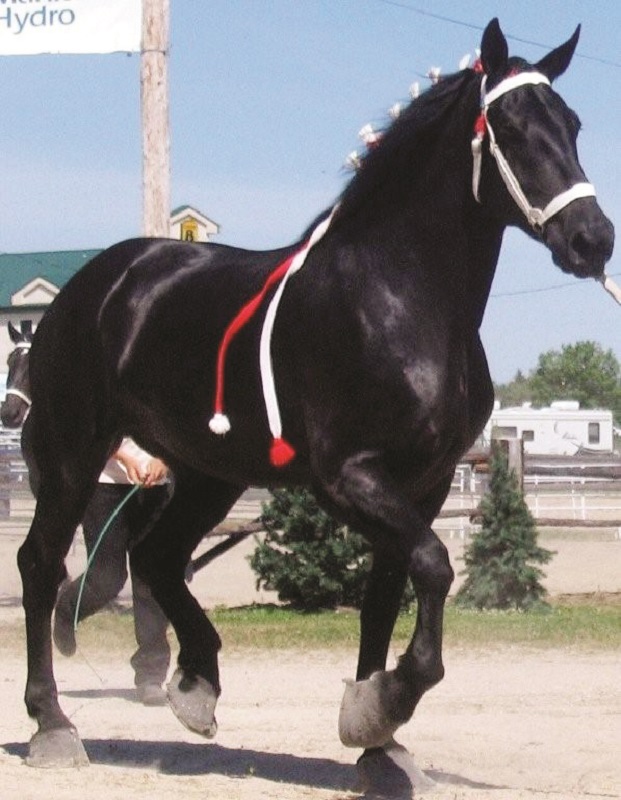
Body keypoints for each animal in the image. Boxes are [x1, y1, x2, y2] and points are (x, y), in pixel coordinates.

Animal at [17, 18, 615, 790]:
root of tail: (97, 282)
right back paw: (53, 724)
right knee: (42, 566)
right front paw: (387, 700)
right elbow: (432, 566)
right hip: (71, 453)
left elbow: (385, 595)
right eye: (509, 126)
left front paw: (377, 742)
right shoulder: (346, 477)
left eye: (571, 124)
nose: (591, 239)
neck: (396, 298)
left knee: (156, 558)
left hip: (209, 472)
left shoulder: (420, 486)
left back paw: (197, 686)